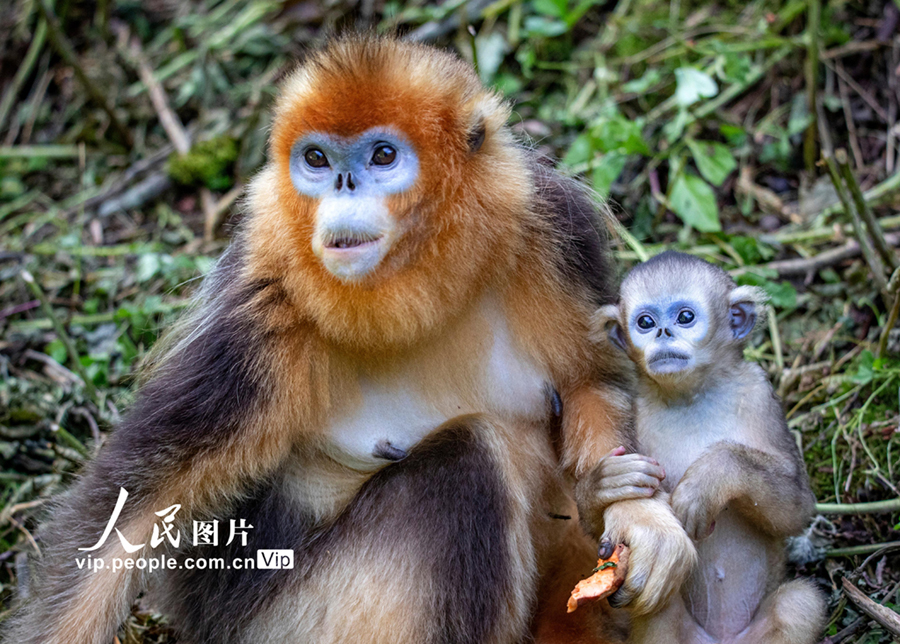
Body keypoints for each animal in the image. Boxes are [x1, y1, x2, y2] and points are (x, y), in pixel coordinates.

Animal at [592, 252, 824, 644]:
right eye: (645, 322)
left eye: (685, 317)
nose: (663, 333)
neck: (691, 397)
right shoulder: (631, 406)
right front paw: (605, 481)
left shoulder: (760, 393)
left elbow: (796, 508)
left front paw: (706, 483)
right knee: (659, 602)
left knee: (800, 603)